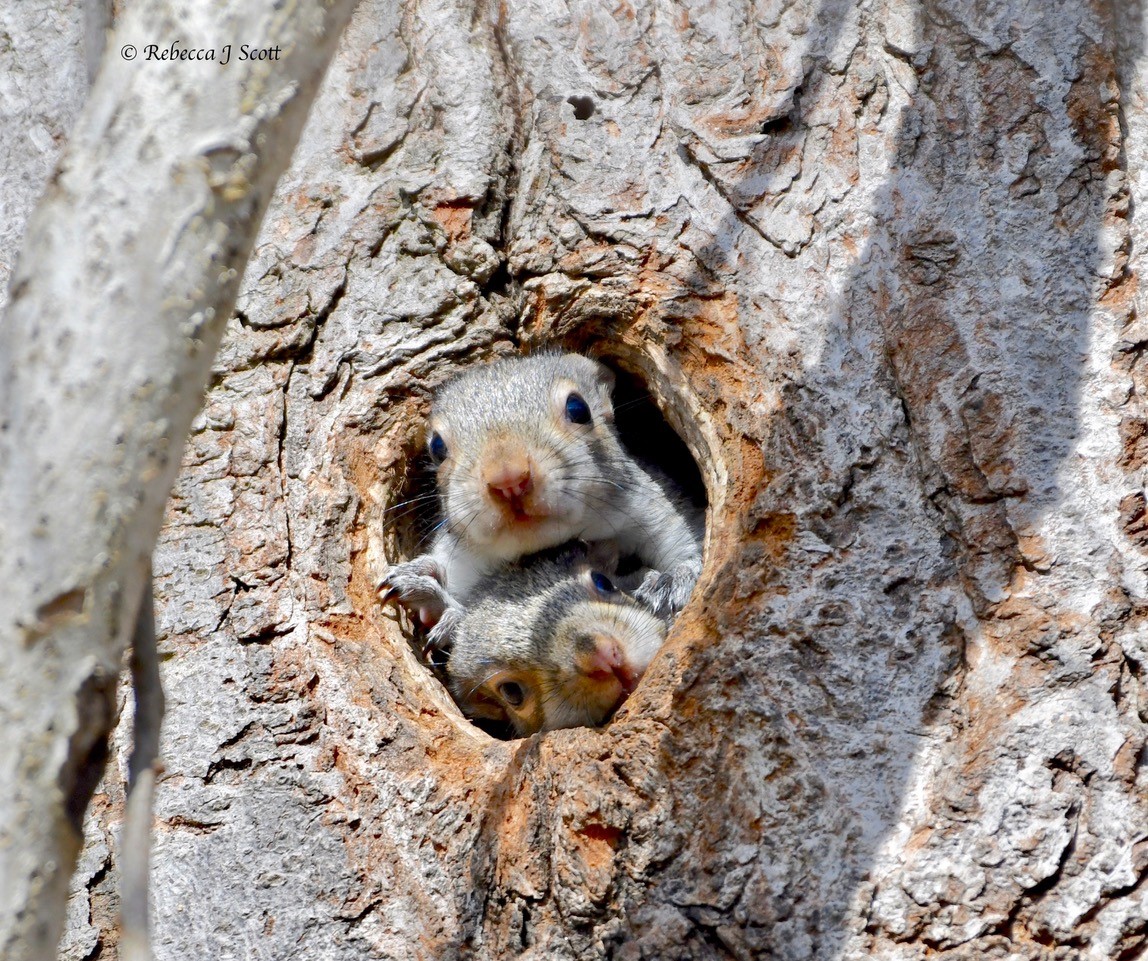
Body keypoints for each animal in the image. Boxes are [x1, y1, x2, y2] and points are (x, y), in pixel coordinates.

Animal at [378, 351, 704, 649]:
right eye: (437, 447)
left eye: (578, 408)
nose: (508, 479)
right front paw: (425, 584)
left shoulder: (660, 516)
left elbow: (688, 555)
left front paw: (670, 580)